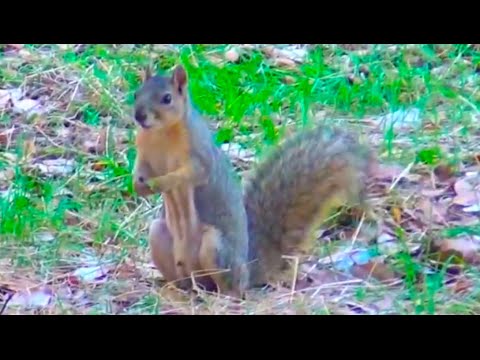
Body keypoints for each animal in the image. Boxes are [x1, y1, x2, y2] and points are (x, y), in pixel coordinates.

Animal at [132, 64, 376, 298]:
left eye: (167, 98)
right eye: (136, 93)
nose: (139, 116)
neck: (161, 133)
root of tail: (248, 271)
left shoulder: (199, 154)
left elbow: (191, 174)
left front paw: (160, 183)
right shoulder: (144, 152)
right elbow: (140, 168)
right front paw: (138, 184)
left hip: (215, 247)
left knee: (232, 286)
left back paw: (226, 295)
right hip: (159, 236)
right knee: (185, 280)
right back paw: (175, 287)